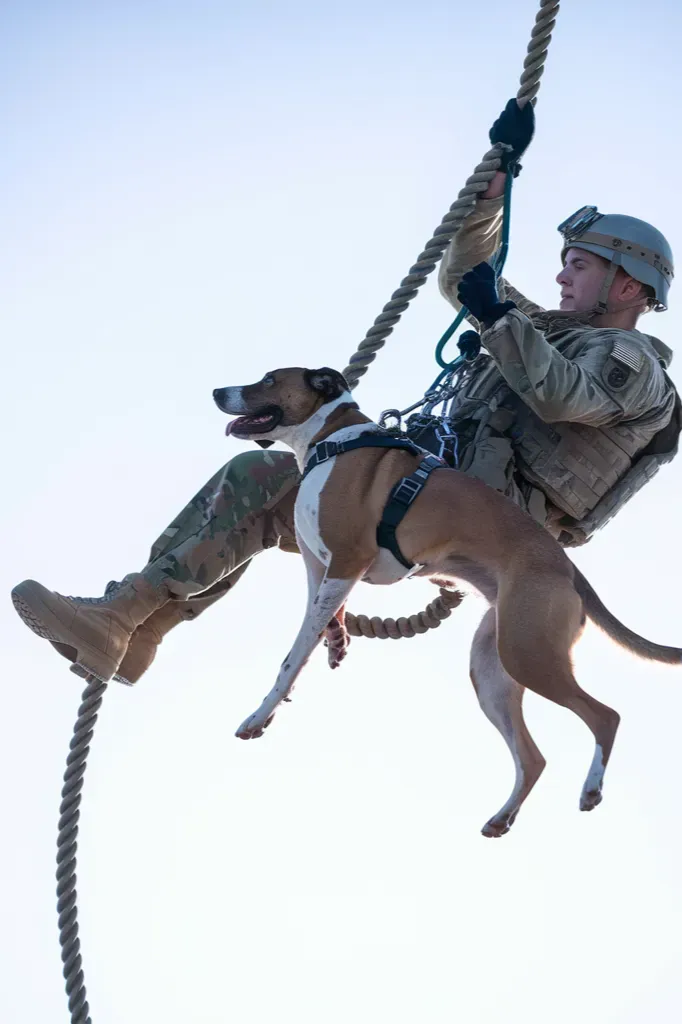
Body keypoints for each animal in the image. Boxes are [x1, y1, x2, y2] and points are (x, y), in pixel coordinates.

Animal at [214, 364, 679, 835]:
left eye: (269, 380)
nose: (217, 391)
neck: (332, 440)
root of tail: (568, 568)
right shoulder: (322, 571)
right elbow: (317, 628)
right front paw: (335, 643)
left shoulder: (346, 561)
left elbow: (292, 657)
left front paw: (259, 714)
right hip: (493, 668)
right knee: (533, 758)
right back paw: (502, 817)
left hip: (528, 654)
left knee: (605, 716)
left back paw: (591, 789)